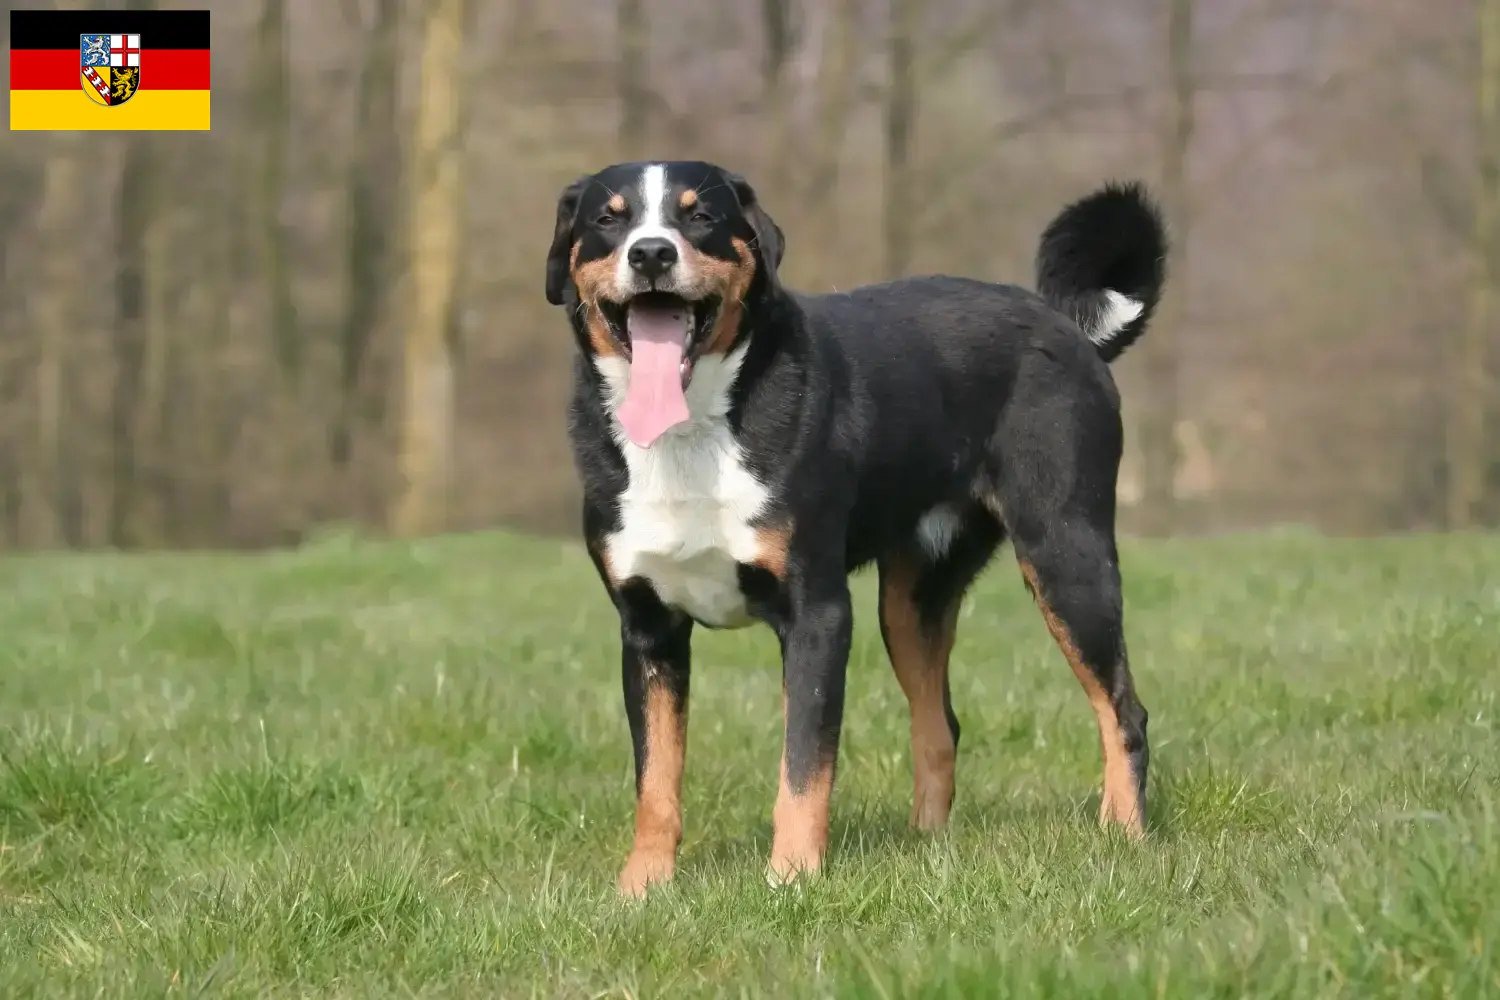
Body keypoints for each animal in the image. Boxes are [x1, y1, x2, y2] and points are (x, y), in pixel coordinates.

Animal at [546, 160, 1164, 893]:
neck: (690, 432)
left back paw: (1123, 834)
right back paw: (927, 847)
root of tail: (1066, 325)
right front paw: (642, 887)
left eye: (700, 217)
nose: (650, 254)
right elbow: (657, 776)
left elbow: (803, 765)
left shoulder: (816, 612)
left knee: (1122, 710)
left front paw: (791, 879)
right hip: (911, 602)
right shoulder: (648, 629)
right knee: (940, 725)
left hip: (1067, 556)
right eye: (608, 220)